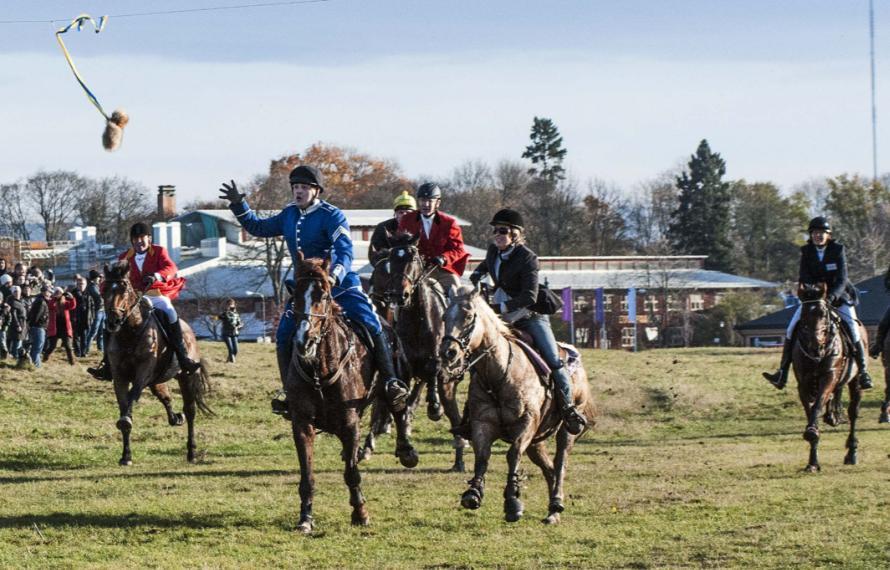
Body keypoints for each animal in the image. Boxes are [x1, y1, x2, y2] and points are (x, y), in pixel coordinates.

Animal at [101, 262, 212, 466]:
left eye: (124, 289)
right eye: (103, 289)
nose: (113, 321)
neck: (129, 331)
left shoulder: (143, 374)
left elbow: (132, 397)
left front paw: (126, 420)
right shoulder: (120, 377)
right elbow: (124, 405)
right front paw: (126, 456)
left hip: (186, 376)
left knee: (190, 410)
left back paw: (191, 451)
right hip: (157, 380)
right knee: (166, 398)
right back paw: (176, 418)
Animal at [288, 251, 420, 532]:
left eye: (324, 296)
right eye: (295, 297)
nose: (304, 341)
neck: (320, 367)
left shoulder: (349, 424)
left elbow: (351, 472)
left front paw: (360, 512)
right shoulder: (302, 424)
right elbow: (307, 474)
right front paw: (306, 517)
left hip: (397, 377)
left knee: (398, 408)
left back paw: (406, 450)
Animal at [438, 286, 596, 520]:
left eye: (468, 316)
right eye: (444, 317)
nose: (448, 352)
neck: (499, 374)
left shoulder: (526, 423)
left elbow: (513, 454)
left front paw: (513, 500)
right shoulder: (482, 424)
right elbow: (482, 456)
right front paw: (473, 493)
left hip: (566, 430)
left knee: (560, 464)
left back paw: (557, 502)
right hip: (537, 439)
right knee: (549, 468)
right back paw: (552, 513)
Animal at [792, 280, 860, 470]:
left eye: (823, 313)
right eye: (803, 314)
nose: (815, 346)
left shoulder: (829, 377)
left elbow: (817, 405)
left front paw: (811, 433)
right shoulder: (803, 385)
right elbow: (811, 412)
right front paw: (812, 462)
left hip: (856, 381)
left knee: (853, 412)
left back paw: (852, 453)